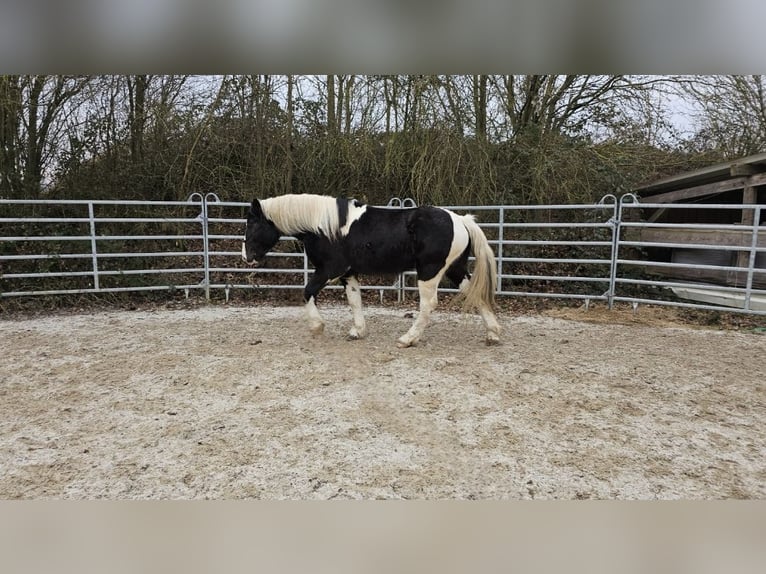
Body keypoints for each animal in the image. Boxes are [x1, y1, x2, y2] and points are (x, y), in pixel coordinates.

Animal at [242, 194, 504, 348]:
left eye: (252, 223)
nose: (246, 257)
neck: (324, 226)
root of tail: (460, 220)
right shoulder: (348, 273)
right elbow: (355, 301)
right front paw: (357, 331)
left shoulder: (329, 270)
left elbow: (307, 292)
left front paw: (317, 327)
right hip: (455, 270)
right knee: (475, 294)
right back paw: (492, 334)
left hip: (430, 272)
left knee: (428, 305)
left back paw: (408, 339)